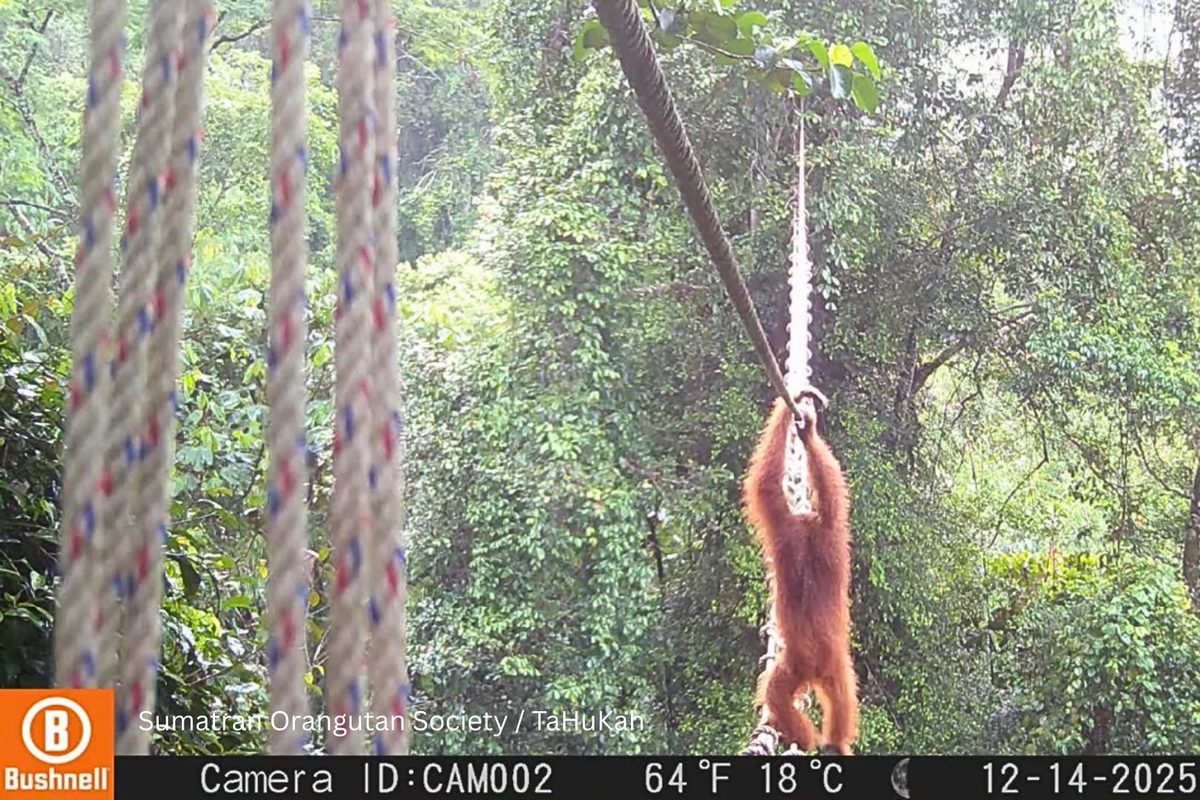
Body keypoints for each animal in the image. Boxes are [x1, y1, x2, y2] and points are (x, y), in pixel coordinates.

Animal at [743, 391, 858, 755]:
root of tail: (812, 665)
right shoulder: (825, 533)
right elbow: (832, 499)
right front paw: (806, 428)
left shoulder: (792, 527)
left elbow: (767, 486)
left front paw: (804, 428)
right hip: (822, 664)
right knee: (831, 698)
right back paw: (821, 740)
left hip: (804, 664)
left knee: (779, 695)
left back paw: (810, 738)